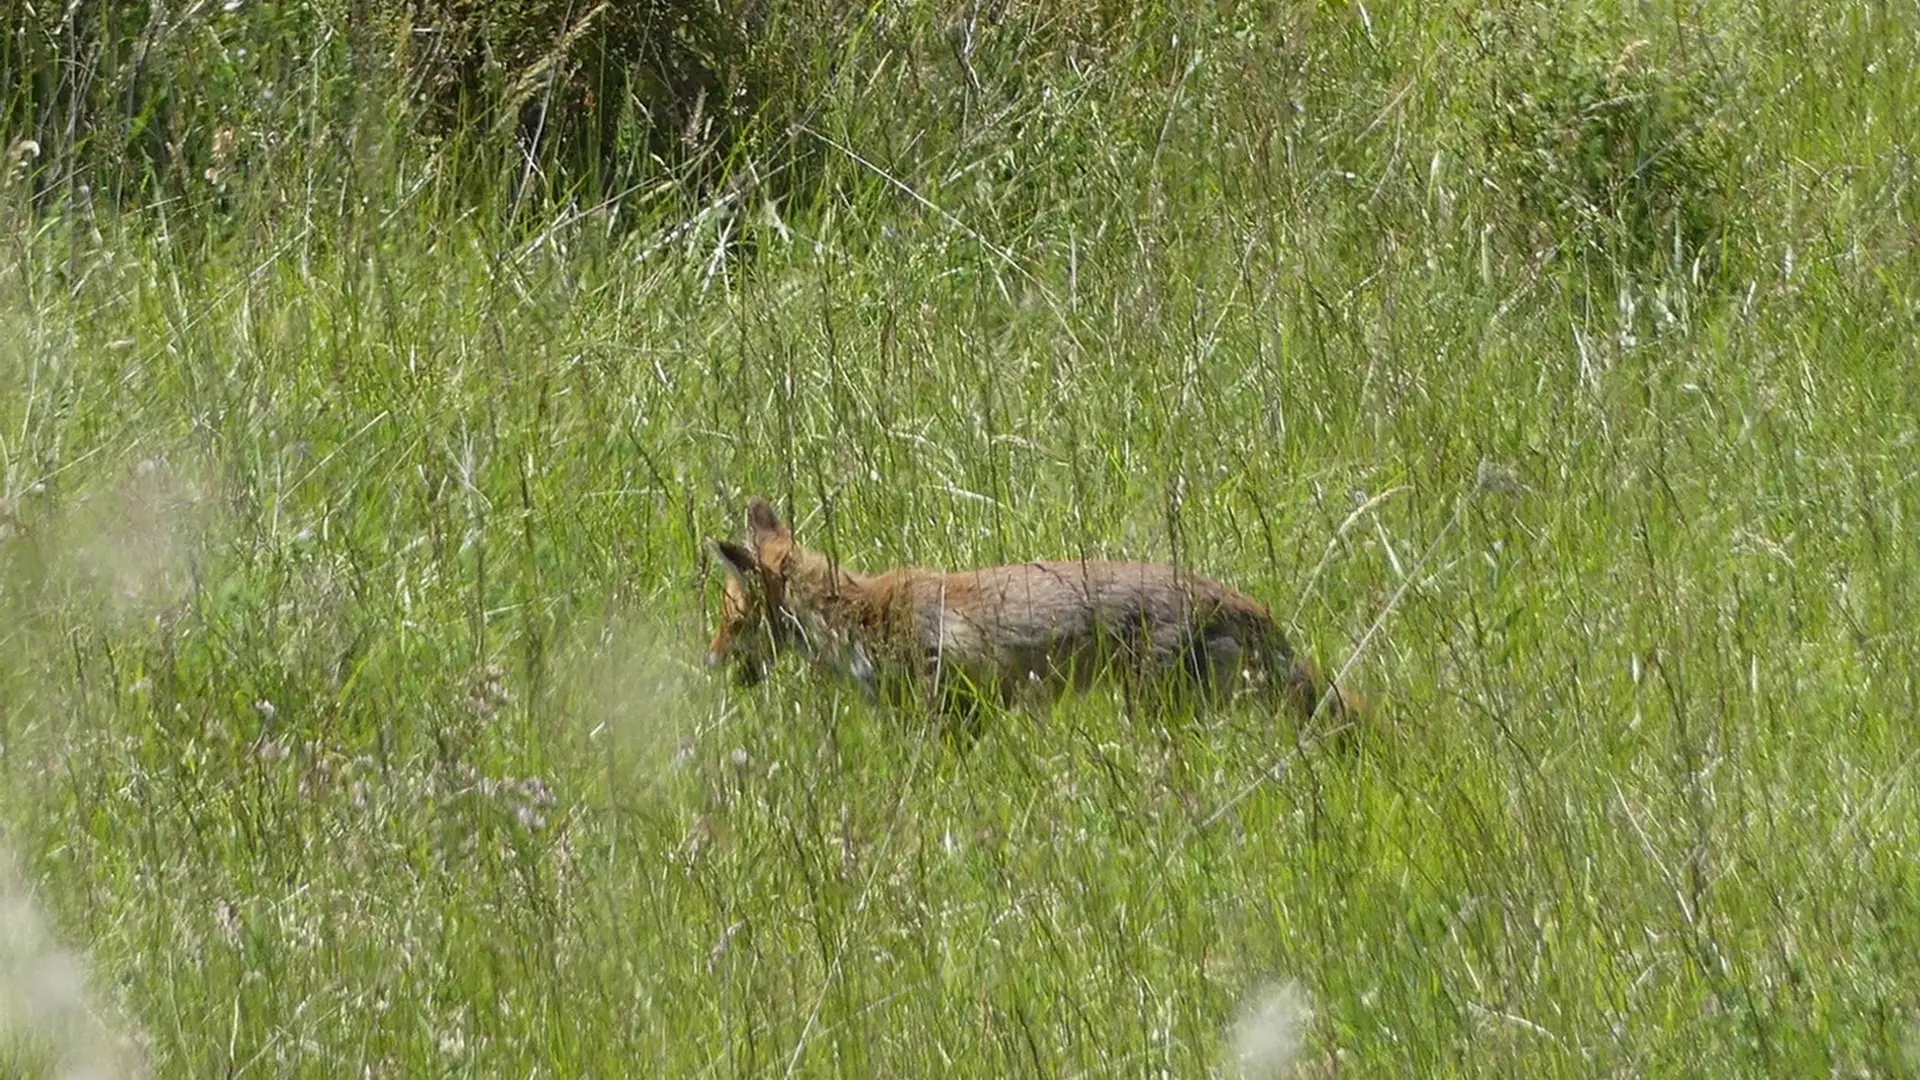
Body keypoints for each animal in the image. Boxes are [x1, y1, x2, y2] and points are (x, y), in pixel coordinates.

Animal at [704, 496, 1358, 726]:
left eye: (732, 619)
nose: (709, 662)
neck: (857, 617)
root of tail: (1248, 606)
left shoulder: (945, 703)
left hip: (1156, 709)